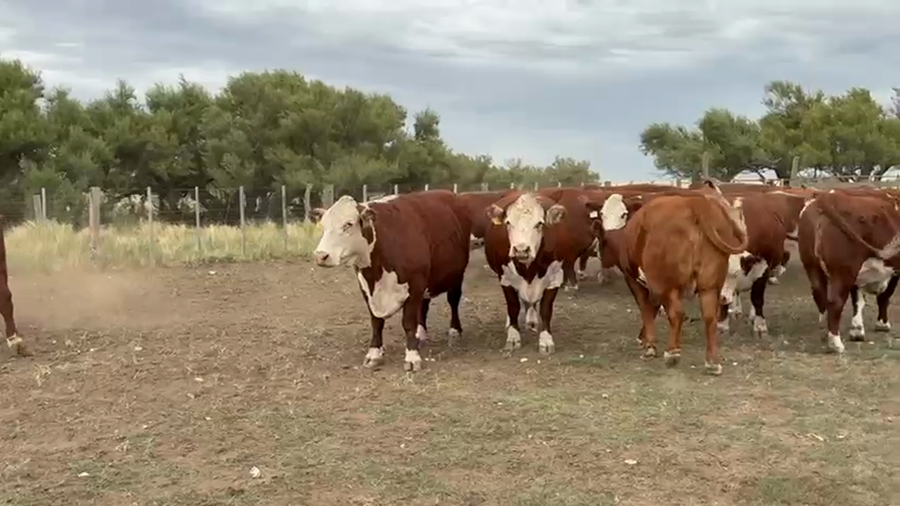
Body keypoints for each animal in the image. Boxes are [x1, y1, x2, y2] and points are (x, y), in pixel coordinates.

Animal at [311, 190, 472, 371]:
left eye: (348, 224)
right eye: (324, 226)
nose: (320, 256)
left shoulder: (415, 283)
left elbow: (408, 322)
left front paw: (412, 357)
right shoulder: (366, 287)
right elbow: (376, 322)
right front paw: (374, 354)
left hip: (457, 273)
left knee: (453, 300)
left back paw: (454, 331)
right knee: (424, 305)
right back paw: (420, 334)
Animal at [483, 190, 572, 354]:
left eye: (539, 223)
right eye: (508, 223)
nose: (521, 250)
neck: (529, 268)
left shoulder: (555, 278)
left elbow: (546, 310)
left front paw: (546, 340)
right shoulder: (505, 279)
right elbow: (513, 307)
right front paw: (513, 337)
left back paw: (531, 320)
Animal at [590, 183, 749, 375]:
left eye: (623, 214)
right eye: (602, 213)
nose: (595, 251)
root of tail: (695, 204)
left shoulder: (636, 280)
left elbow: (646, 309)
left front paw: (649, 345)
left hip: (666, 285)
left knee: (677, 313)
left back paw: (672, 353)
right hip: (709, 285)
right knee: (710, 316)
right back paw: (712, 362)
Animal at [798, 190, 900, 352]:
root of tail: (829, 196)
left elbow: (858, 300)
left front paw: (857, 330)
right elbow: (884, 297)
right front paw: (882, 324)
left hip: (811, 265)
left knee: (820, 295)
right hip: (844, 271)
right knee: (835, 302)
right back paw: (835, 343)